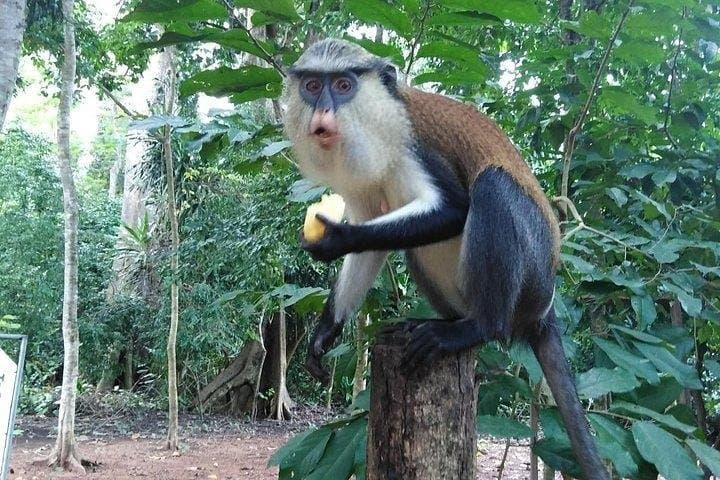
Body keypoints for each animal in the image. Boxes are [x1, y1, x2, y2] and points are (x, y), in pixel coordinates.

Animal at [281, 39, 608, 480]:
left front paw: (335, 239)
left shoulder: (414, 147)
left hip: (532, 275)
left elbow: (454, 209)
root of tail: (546, 307)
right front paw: (325, 331)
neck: (379, 120)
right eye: (313, 85)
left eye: (344, 85)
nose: (323, 112)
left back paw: (473, 328)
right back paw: (439, 322)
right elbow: (372, 236)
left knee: (493, 187)